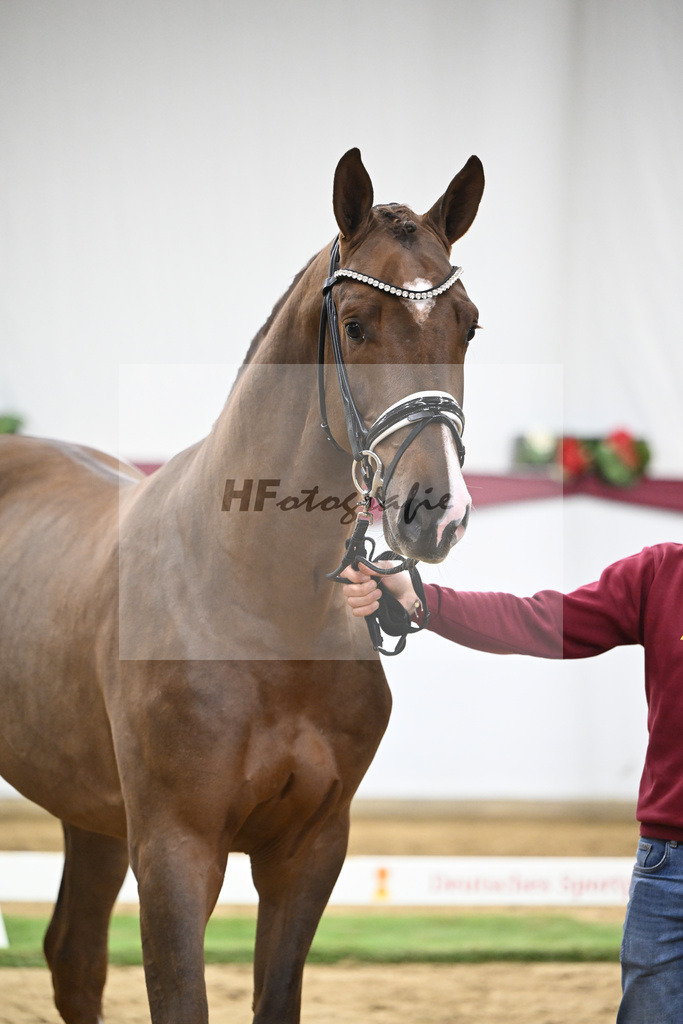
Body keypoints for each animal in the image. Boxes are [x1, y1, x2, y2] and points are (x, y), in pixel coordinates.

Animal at [0, 147, 484, 1023]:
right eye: (355, 323)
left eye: (467, 322)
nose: (434, 512)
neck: (254, 599)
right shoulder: (176, 849)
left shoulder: (309, 848)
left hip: (90, 813)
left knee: (74, 957)